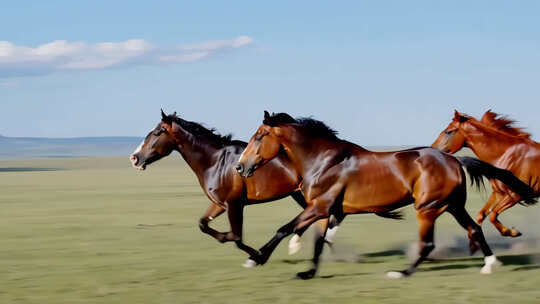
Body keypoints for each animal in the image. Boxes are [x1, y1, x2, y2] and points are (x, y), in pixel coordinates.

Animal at [129, 110, 344, 264]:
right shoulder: (219, 204)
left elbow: (236, 237)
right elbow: (203, 224)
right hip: (301, 195)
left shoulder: (234, 204)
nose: (134, 158)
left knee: (328, 216)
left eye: (158, 132)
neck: (215, 161)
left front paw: (256, 255)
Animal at [434, 110, 540, 238]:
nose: (433, 148)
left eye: (449, 131)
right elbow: (481, 215)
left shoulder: (516, 195)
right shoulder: (499, 193)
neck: (506, 154)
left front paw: (513, 232)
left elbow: (493, 215)